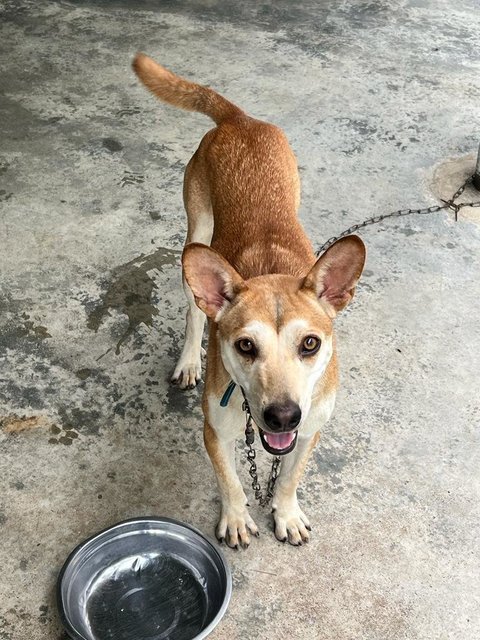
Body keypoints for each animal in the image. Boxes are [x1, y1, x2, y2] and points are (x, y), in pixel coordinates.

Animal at [131, 52, 364, 548]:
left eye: (310, 344)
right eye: (245, 346)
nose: (282, 416)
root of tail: (239, 119)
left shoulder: (311, 429)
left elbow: (291, 475)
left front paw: (286, 513)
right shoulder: (214, 431)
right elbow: (230, 480)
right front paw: (237, 517)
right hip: (196, 237)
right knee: (194, 313)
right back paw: (189, 360)